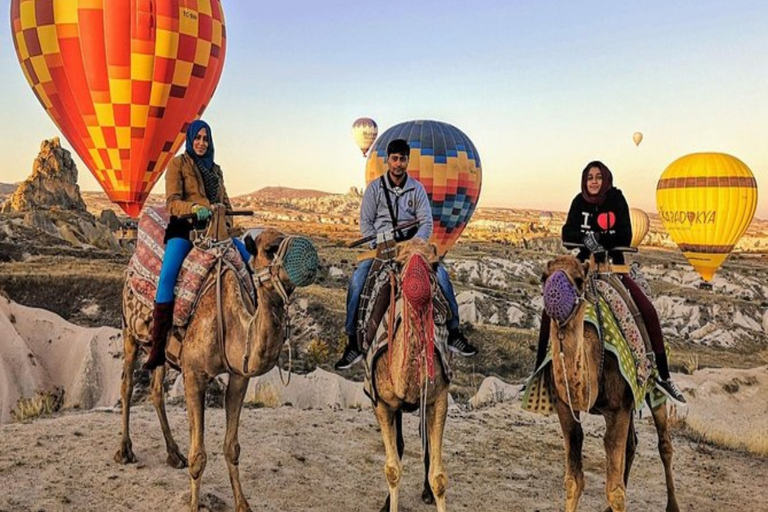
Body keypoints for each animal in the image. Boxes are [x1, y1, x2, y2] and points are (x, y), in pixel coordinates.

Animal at [117, 229, 316, 512]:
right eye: (270, 249)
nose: (309, 259)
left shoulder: (240, 376)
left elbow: (232, 447)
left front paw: (243, 505)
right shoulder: (193, 374)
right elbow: (198, 455)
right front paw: (194, 506)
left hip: (162, 352)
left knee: (156, 390)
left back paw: (173, 454)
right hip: (130, 331)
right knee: (127, 384)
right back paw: (125, 450)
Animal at [370, 239, 450, 512]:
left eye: (435, 264)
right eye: (398, 263)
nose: (417, 286)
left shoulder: (439, 399)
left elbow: (439, 478)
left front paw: (432, 491)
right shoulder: (381, 403)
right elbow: (392, 470)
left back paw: (425, 492)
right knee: (401, 444)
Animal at [544, 255, 680, 512]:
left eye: (579, 279)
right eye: (543, 277)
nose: (553, 294)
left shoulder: (617, 409)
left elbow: (615, 491)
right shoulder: (565, 407)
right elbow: (574, 481)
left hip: (652, 391)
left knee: (665, 444)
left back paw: (673, 506)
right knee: (632, 444)